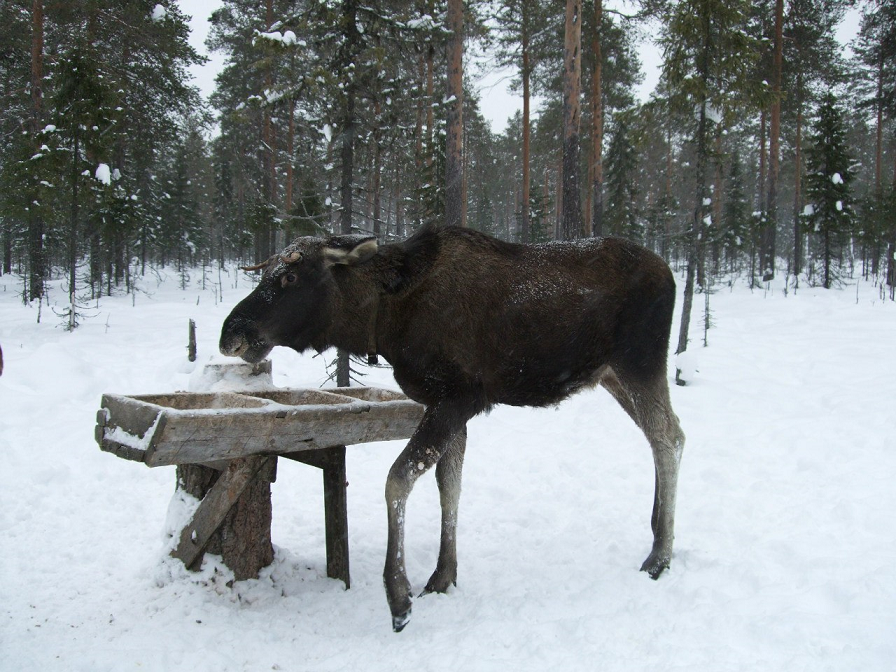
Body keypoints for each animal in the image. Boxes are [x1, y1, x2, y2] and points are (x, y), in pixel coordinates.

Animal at [222, 226, 688, 632]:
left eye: (290, 276)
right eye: (266, 272)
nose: (231, 335)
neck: (382, 321)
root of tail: (669, 272)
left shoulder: (459, 399)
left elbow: (397, 480)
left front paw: (398, 596)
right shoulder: (445, 406)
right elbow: (449, 485)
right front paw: (444, 574)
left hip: (639, 361)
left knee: (669, 437)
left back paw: (660, 555)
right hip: (611, 374)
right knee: (664, 436)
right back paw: (657, 530)